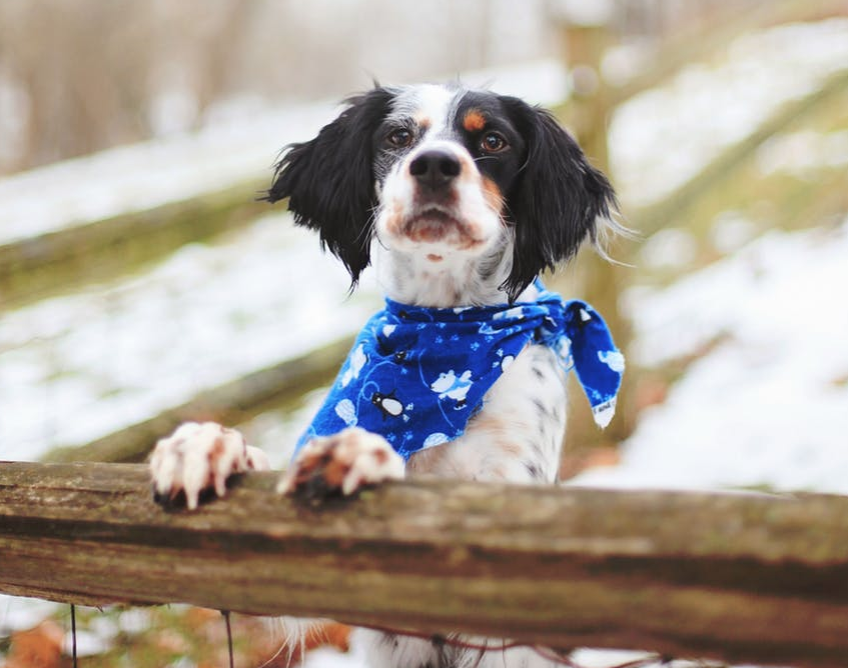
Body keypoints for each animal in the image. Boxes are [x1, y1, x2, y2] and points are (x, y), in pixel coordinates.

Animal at [150, 83, 623, 667]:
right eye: (398, 136)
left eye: (493, 139)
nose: (435, 164)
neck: (445, 337)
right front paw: (204, 446)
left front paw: (359, 453)